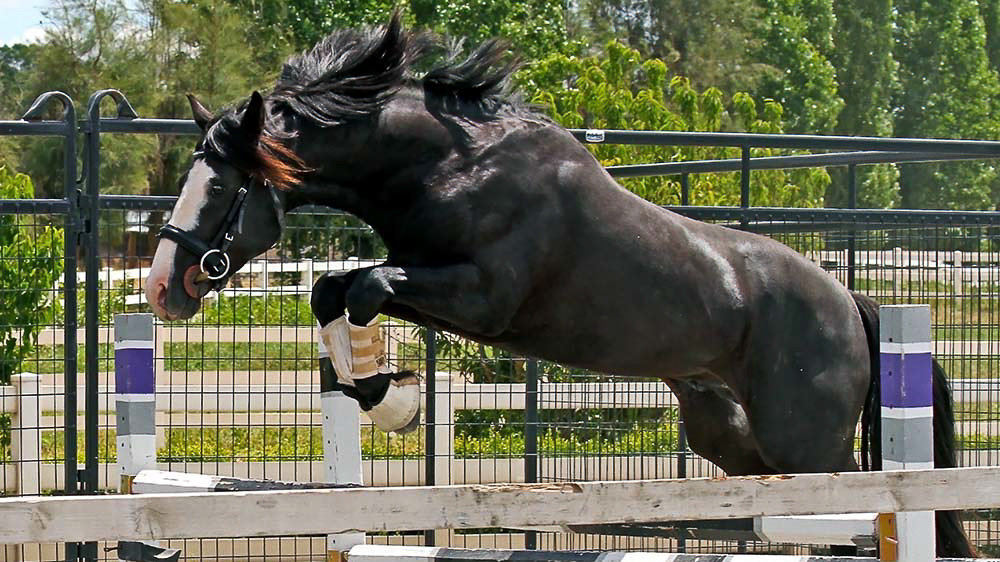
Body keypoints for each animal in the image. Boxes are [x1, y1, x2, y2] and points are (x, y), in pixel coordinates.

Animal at [146, 13, 976, 556]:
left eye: (223, 188)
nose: (162, 290)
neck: (451, 164)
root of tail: (853, 301)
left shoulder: (482, 297)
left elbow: (363, 289)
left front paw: (394, 398)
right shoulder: (439, 285)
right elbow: (335, 291)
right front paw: (380, 390)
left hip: (808, 444)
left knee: (866, 508)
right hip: (734, 438)